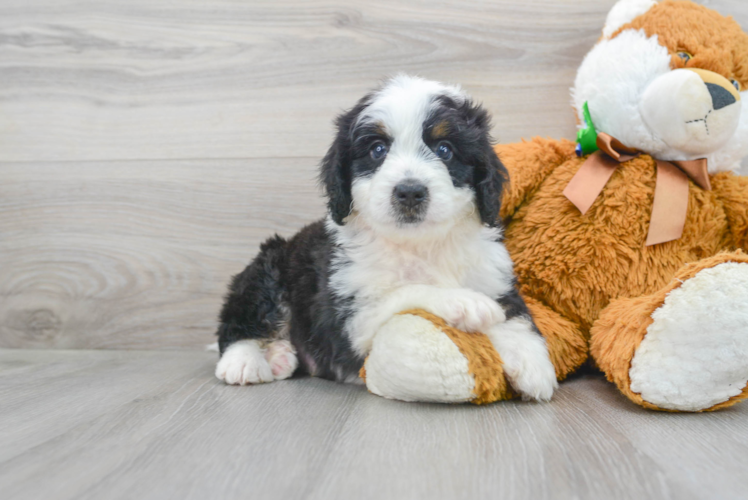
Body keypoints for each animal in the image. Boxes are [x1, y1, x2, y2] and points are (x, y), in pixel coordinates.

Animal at [213, 75, 560, 402]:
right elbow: (407, 289)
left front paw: (534, 366)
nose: (410, 192)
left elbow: (516, 314)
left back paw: (280, 356)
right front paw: (463, 301)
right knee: (237, 324)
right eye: (377, 150)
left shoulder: (492, 271)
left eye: (444, 150)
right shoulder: (351, 316)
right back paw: (245, 361)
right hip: (269, 266)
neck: (421, 245)